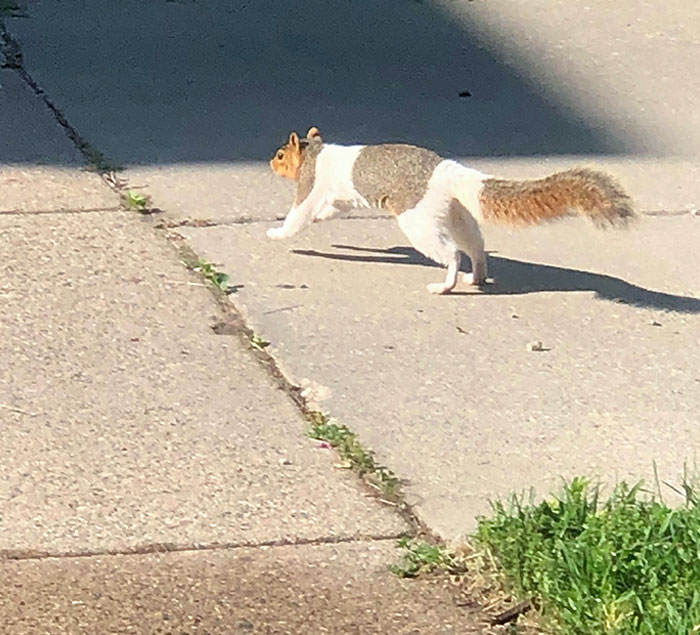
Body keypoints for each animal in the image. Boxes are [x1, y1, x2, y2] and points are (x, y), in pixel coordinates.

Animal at [267, 127, 635, 295]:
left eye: (281, 155)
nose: (271, 163)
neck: (316, 154)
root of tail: (446, 172)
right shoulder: (339, 200)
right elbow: (327, 212)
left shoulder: (312, 186)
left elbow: (299, 214)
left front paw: (276, 232)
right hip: (456, 214)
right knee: (476, 246)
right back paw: (478, 276)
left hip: (420, 221)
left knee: (452, 253)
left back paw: (446, 284)